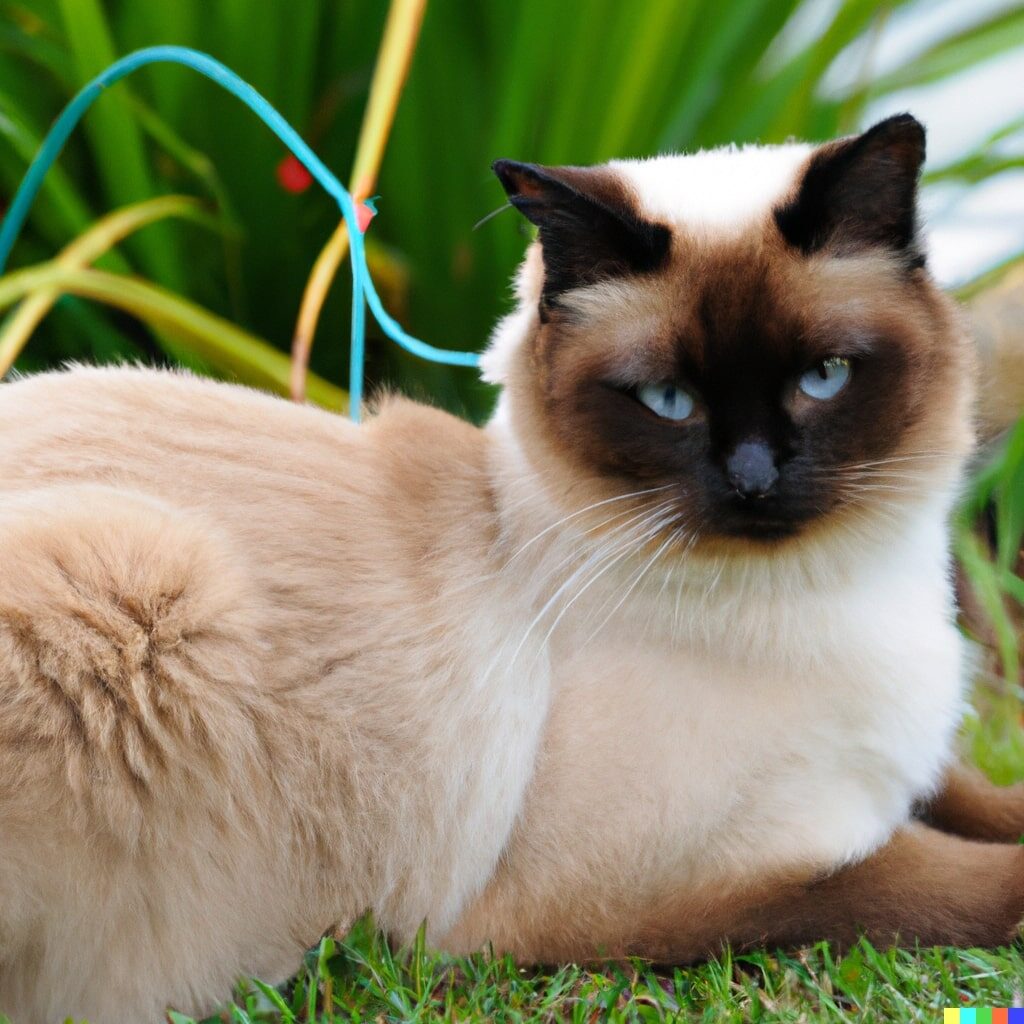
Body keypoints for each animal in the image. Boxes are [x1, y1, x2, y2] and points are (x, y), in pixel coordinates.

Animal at [2, 112, 1024, 1024]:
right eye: (669, 400)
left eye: (824, 378)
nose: (753, 481)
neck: (845, 595)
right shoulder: (664, 892)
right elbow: (920, 884)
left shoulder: (915, 765)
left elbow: (976, 797)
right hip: (132, 569)